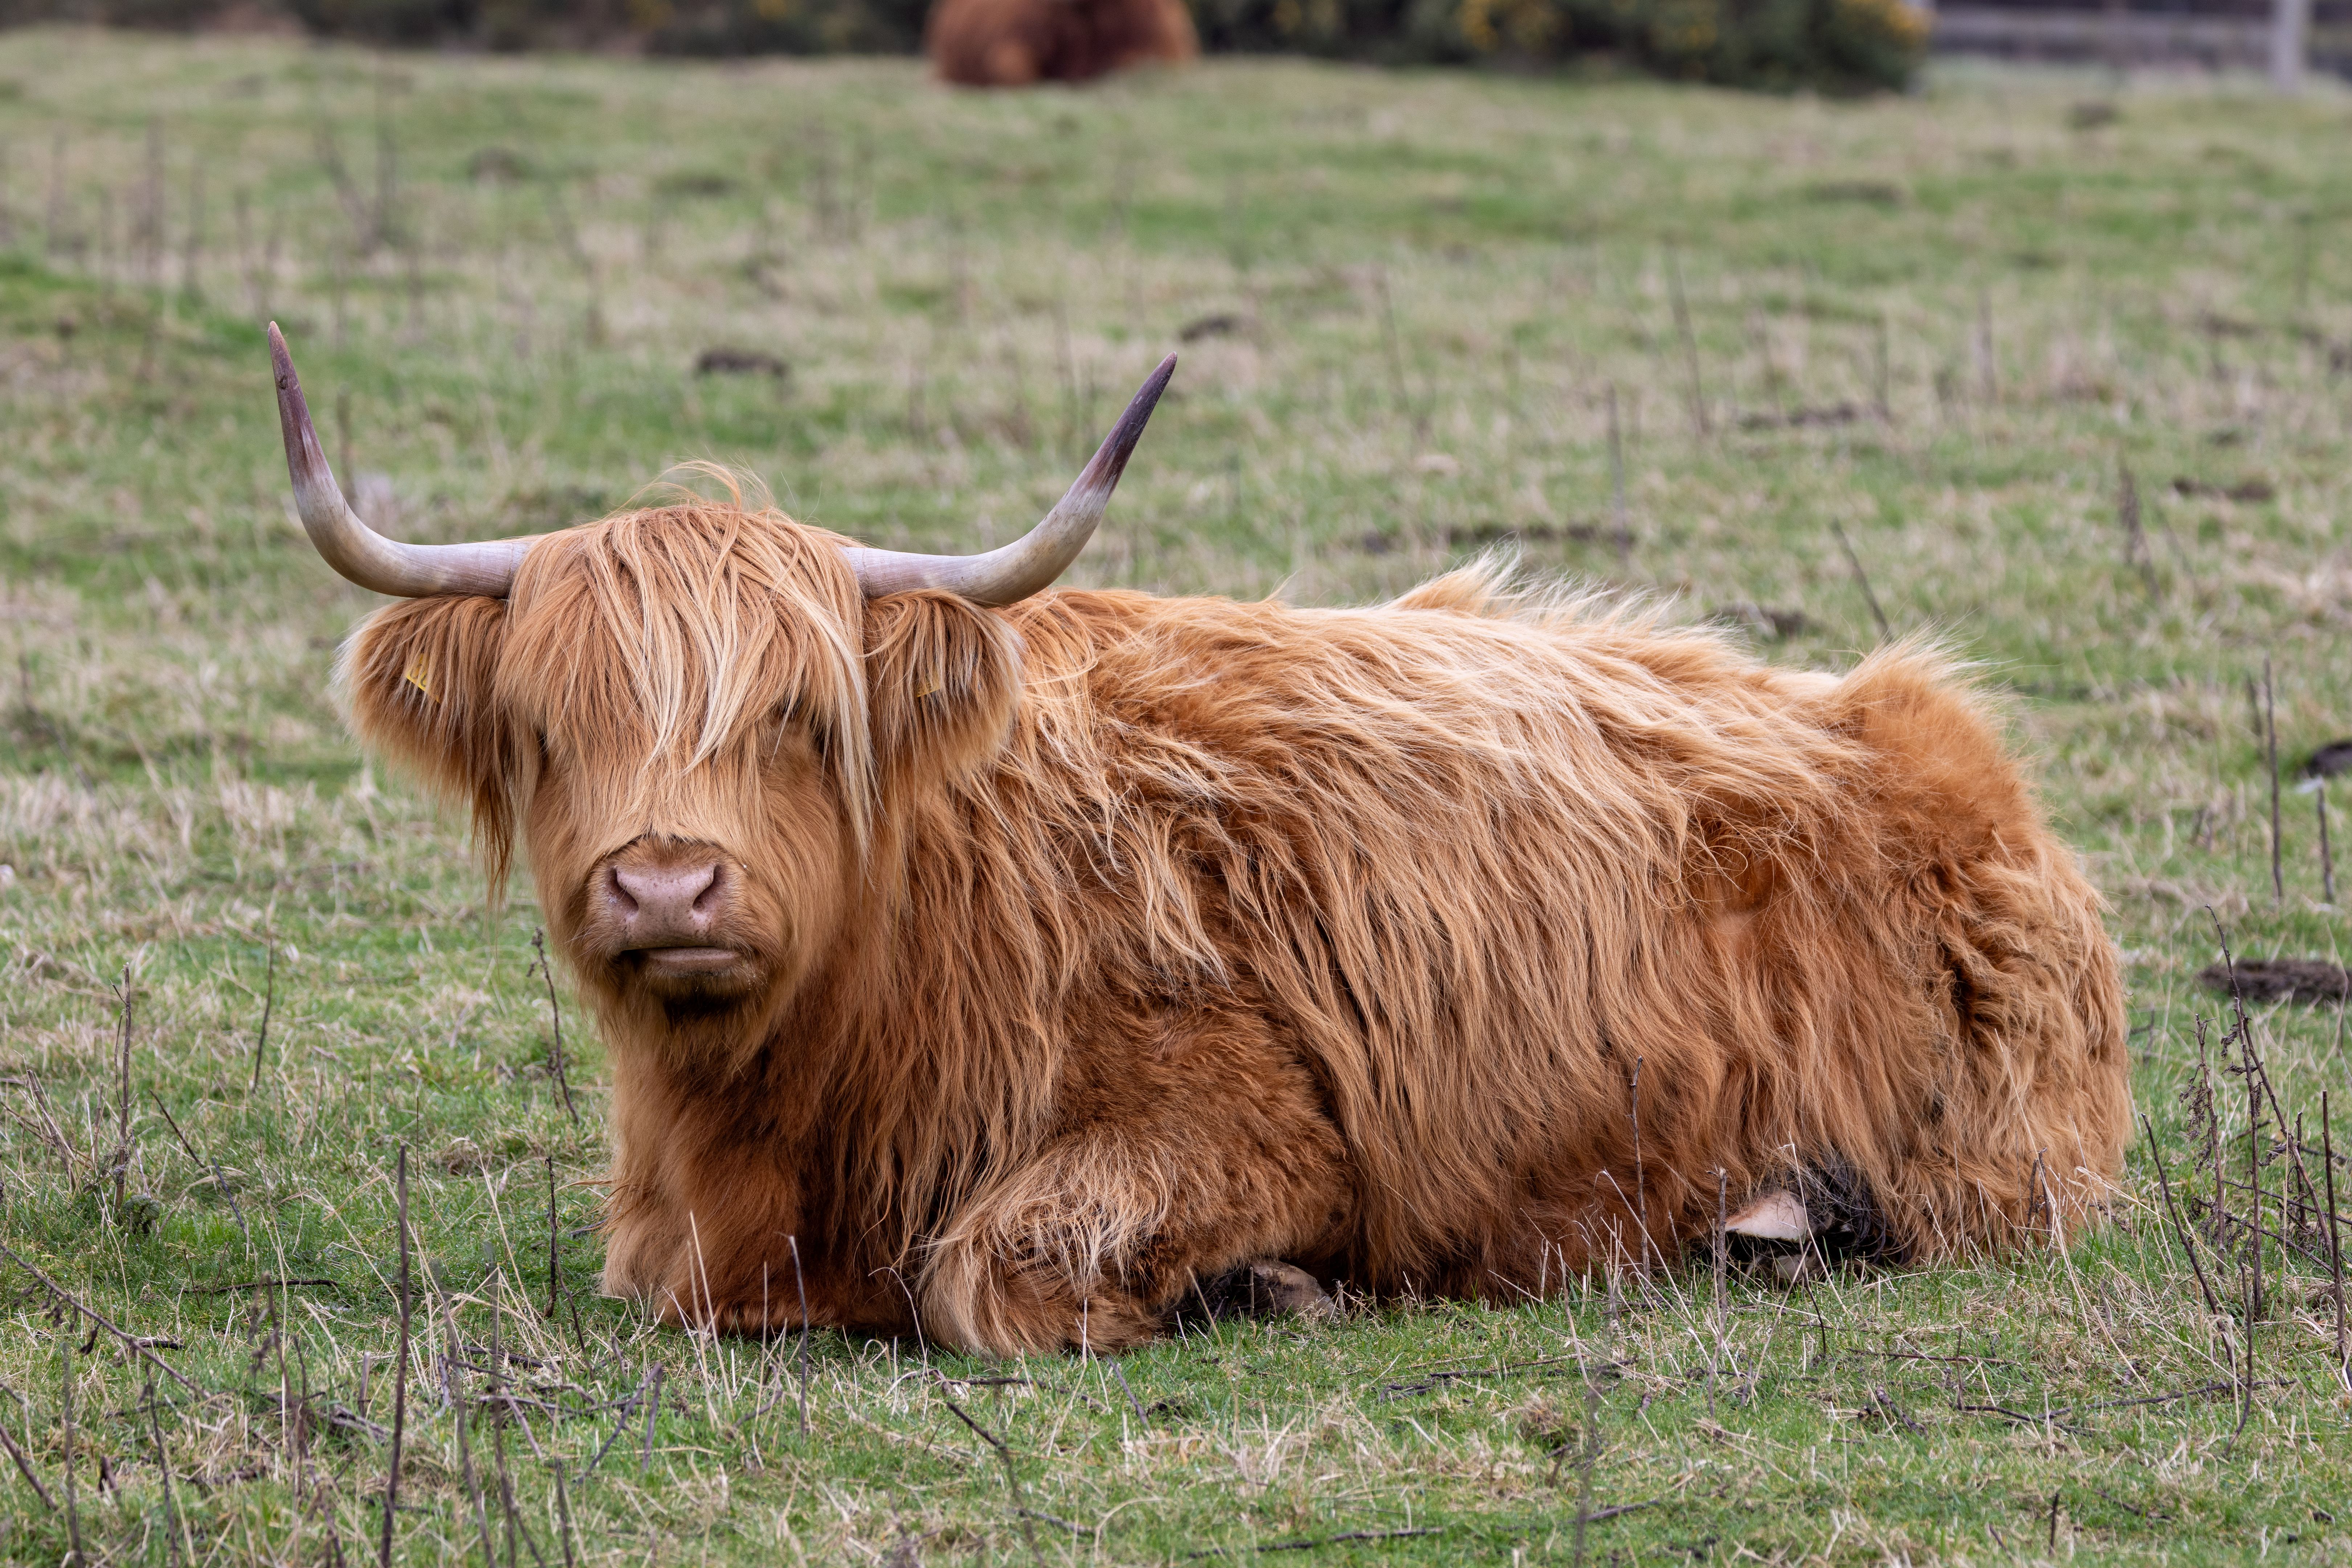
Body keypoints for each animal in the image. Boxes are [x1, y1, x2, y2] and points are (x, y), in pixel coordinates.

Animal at [268, 325, 2131, 1355]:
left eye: (800, 715)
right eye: (550, 728)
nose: (664, 882)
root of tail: (1924, 732)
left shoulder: (1253, 1127)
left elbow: (992, 1271)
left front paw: (1267, 1292)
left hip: (1998, 1158)